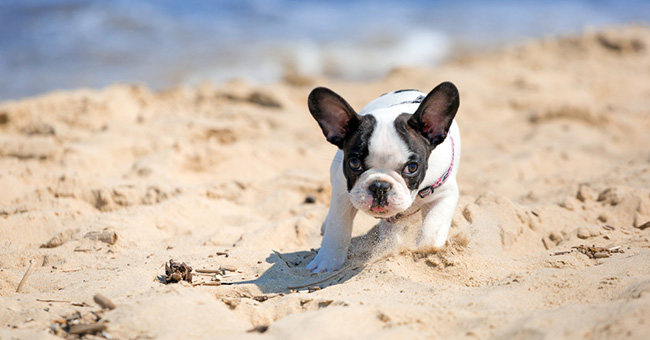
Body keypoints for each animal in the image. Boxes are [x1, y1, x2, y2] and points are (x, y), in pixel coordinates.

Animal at [306, 82, 458, 274]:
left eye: (412, 167)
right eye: (354, 163)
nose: (379, 186)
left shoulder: (445, 193)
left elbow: (432, 229)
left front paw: (428, 252)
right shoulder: (342, 190)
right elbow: (337, 227)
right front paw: (327, 262)